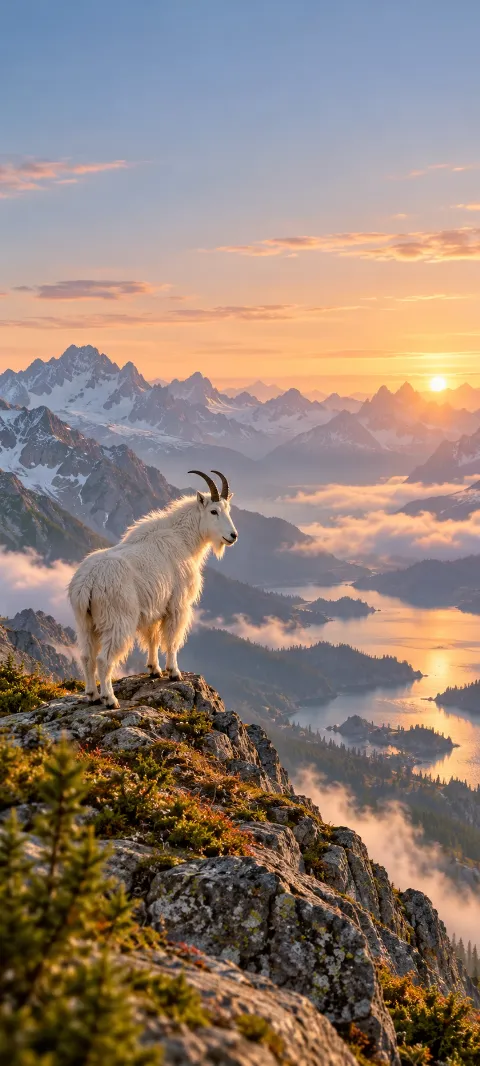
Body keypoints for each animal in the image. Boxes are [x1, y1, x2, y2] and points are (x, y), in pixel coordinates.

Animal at [68, 469, 237, 708]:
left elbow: (153, 637)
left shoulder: (154, 607)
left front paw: (154, 670)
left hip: (85, 622)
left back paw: (92, 695)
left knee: (86, 656)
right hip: (118, 620)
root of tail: (87, 582)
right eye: (213, 511)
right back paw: (110, 699)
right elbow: (172, 639)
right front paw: (174, 672)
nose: (233, 536)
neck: (183, 540)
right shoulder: (177, 604)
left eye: (228, 510)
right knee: (103, 659)